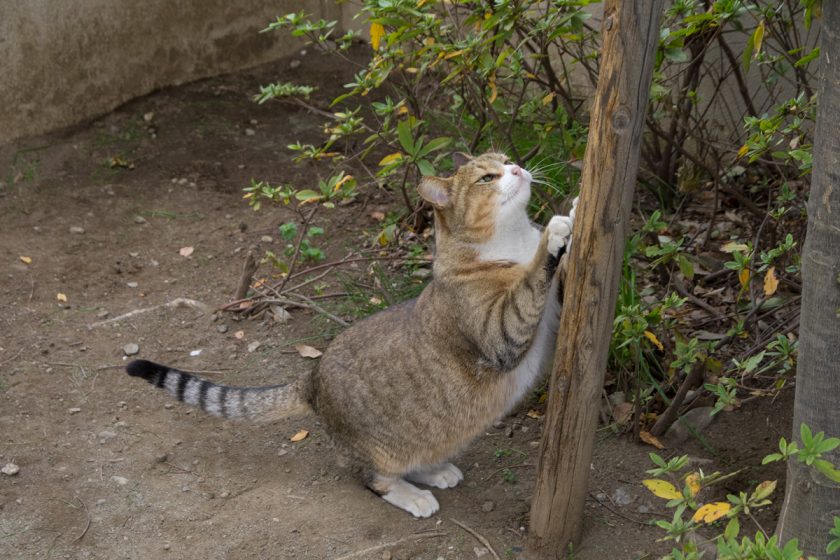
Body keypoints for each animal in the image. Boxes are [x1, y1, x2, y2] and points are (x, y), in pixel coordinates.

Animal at [126, 152, 576, 516]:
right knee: (374, 478)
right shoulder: (499, 335)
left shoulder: (552, 315)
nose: (518, 168)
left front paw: (571, 210)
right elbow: (531, 281)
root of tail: (311, 377)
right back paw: (413, 495)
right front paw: (555, 231)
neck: (509, 240)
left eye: (507, 160)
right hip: (379, 449)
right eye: (487, 177)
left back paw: (435, 471)